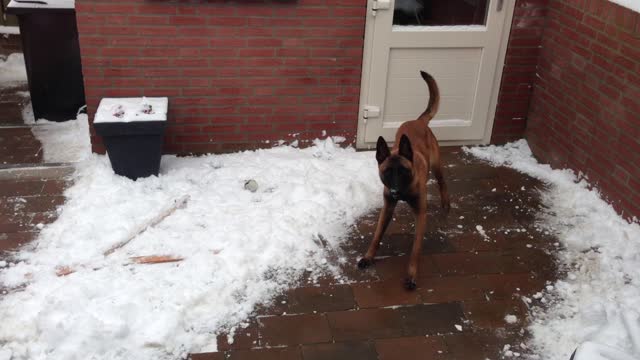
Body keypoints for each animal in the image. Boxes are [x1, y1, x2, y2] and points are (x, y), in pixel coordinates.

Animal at [358, 70, 452, 290]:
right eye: (387, 172)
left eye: (403, 171)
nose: (395, 191)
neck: (405, 190)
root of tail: (418, 121)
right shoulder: (387, 207)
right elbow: (376, 236)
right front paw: (368, 257)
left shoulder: (421, 213)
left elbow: (416, 249)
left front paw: (411, 275)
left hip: (436, 164)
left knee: (442, 181)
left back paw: (446, 203)